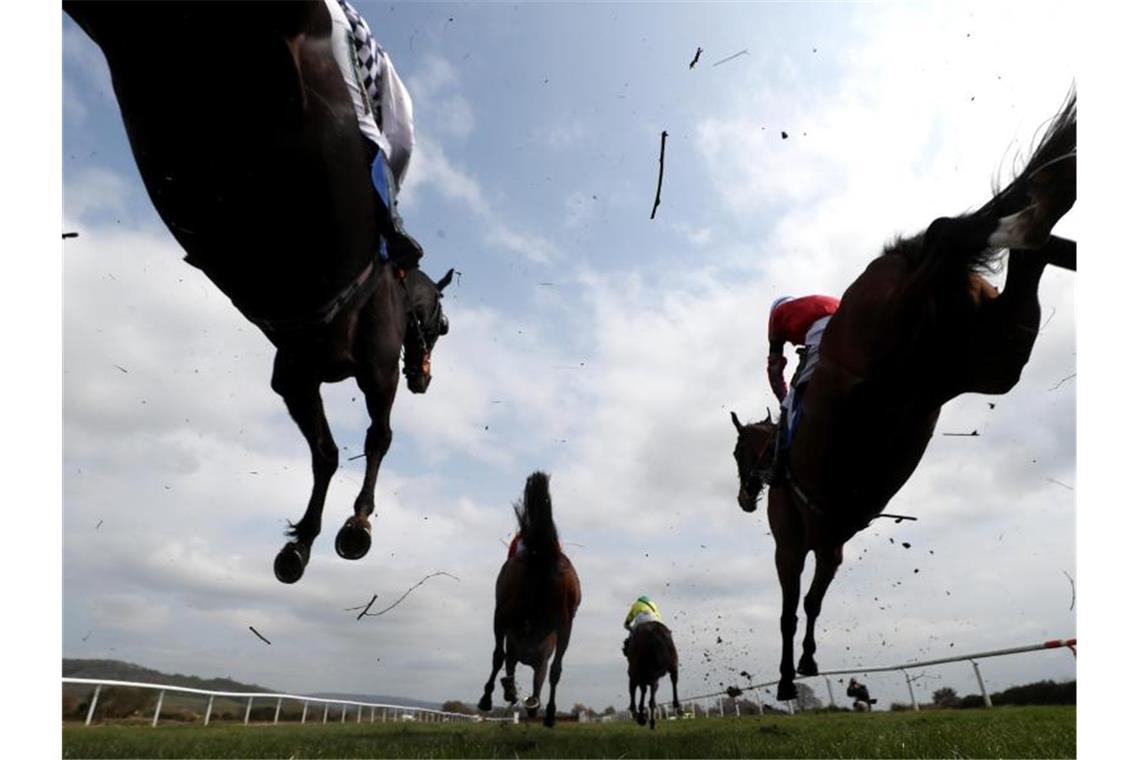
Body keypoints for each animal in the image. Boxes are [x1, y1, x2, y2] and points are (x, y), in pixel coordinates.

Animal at [64, 1, 451, 583]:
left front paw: (305, 540)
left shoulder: (297, 377)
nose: (423, 379)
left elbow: (326, 452)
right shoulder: (374, 371)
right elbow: (371, 440)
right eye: (444, 326)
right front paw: (352, 523)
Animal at [478, 471, 583, 729]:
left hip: (504, 616)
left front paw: (502, 695)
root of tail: (545, 555)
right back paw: (549, 714)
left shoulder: (509, 633)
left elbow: (502, 660)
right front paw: (528, 702)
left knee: (500, 656)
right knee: (556, 669)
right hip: (564, 625)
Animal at [729, 92, 1076, 697]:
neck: (780, 460)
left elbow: (794, 608)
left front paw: (790, 675)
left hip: (897, 337)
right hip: (990, 358)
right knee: (1008, 251)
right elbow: (815, 602)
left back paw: (1018, 216)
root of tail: (898, 255)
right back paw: (1045, 205)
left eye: (736, 453)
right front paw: (808, 662)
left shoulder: (793, 545)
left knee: (946, 234)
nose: (745, 498)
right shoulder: (833, 542)